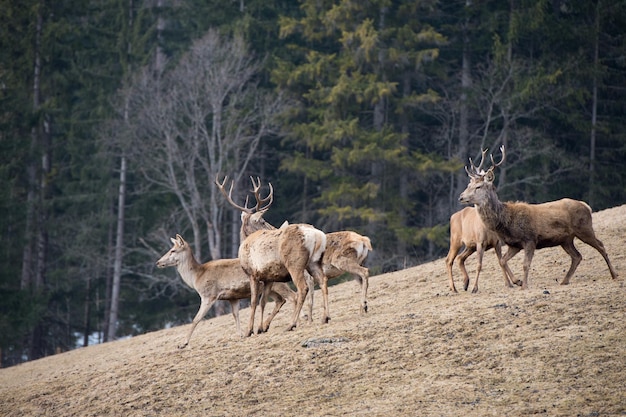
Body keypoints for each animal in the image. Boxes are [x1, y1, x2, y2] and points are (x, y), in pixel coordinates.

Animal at [155, 232, 294, 346]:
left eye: (173, 250)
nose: (158, 262)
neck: (197, 277)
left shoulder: (208, 295)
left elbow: (196, 319)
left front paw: (183, 343)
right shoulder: (232, 297)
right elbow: (235, 314)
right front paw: (241, 335)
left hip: (278, 284)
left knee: (293, 296)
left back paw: (292, 324)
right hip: (271, 288)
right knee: (280, 300)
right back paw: (265, 326)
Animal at [456, 147, 616, 290]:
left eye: (478, 186)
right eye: (469, 184)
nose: (461, 197)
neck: (506, 223)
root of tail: (587, 206)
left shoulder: (530, 239)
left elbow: (525, 264)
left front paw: (524, 285)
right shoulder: (514, 244)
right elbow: (502, 261)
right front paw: (517, 281)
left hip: (584, 228)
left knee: (600, 245)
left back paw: (614, 274)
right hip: (566, 240)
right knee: (577, 256)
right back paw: (564, 281)